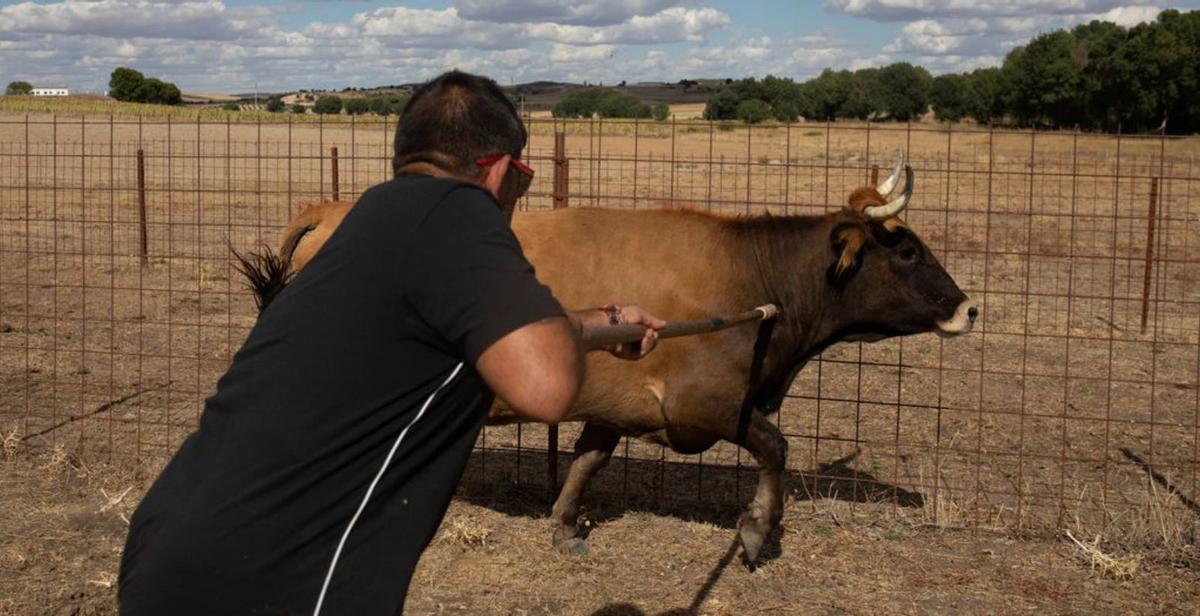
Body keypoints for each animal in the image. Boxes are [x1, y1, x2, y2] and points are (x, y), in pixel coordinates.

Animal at [234, 157, 974, 561]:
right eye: (907, 249)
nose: (968, 309)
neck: (753, 279)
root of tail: (331, 207)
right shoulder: (701, 405)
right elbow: (774, 446)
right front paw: (758, 529)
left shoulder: (614, 408)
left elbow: (587, 463)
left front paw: (563, 526)